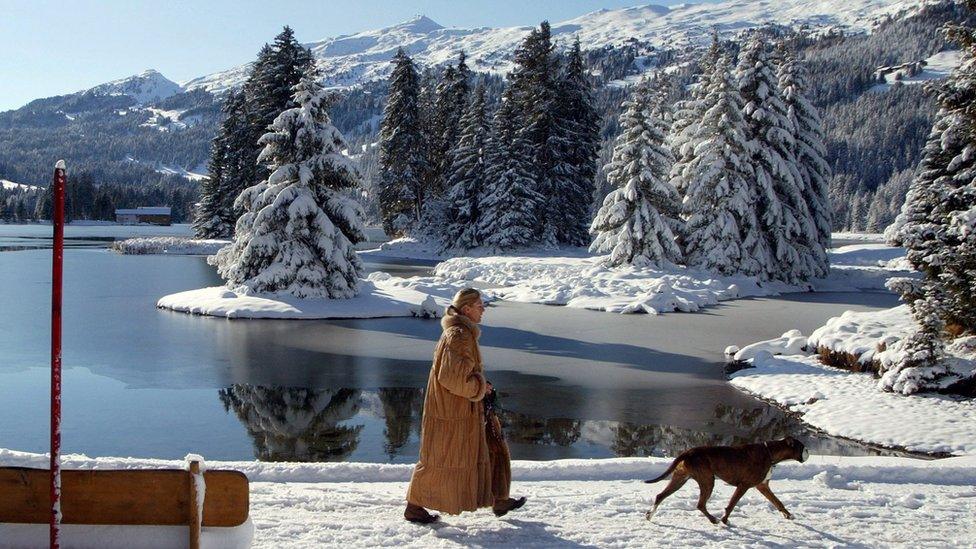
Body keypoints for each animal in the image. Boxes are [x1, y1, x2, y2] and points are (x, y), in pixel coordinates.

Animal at [640, 436, 808, 524]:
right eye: (802, 447)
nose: (808, 450)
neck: (770, 452)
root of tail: (689, 451)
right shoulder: (744, 485)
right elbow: (732, 505)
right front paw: (724, 520)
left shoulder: (763, 486)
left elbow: (778, 502)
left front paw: (788, 515)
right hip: (707, 480)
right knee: (700, 504)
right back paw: (713, 520)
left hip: (680, 479)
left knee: (660, 496)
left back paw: (649, 515)